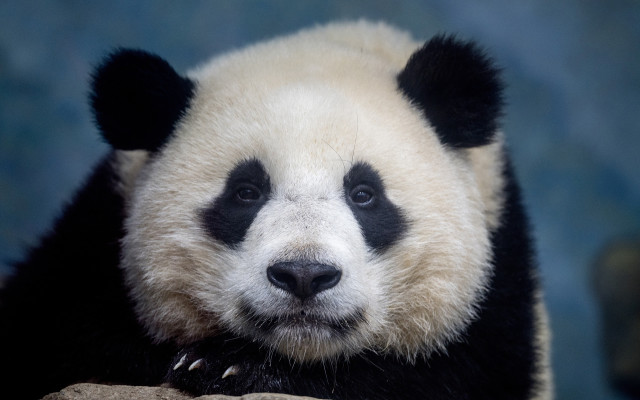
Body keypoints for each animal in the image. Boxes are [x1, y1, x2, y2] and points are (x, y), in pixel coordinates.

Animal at [0, 20, 552, 399]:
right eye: (246, 192)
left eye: (364, 194)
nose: (304, 275)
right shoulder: (96, 234)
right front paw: (204, 363)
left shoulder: (500, 278)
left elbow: (444, 377)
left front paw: (228, 366)